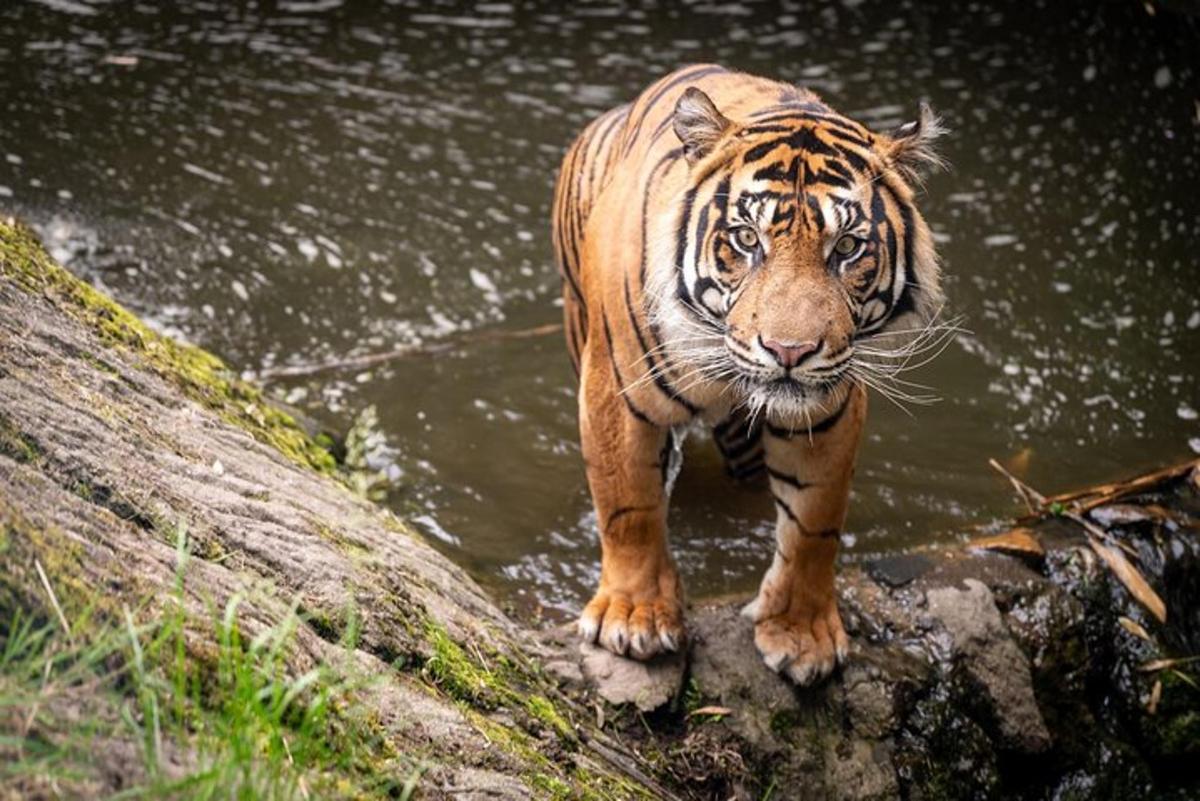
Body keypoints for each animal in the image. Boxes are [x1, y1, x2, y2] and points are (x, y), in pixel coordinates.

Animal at [549, 65, 940, 685]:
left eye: (847, 247)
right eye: (746, 240)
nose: (789, 351)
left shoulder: (827, 409)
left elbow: (814, 523)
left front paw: (801, 634)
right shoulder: (616, 389)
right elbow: (627, 504)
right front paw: (633, 619)